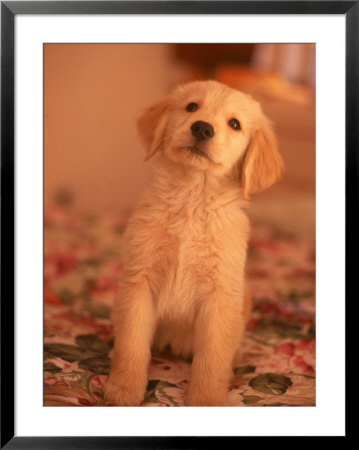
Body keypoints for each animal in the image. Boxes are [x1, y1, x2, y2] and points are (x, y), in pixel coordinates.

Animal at [104, 79, 284, 406]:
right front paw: (123, 389)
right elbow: (132, 343)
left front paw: (207, 400)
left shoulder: (220, 296)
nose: (202, 128)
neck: (192, 197)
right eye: (191, 107)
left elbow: (211, 359)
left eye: (235, 124)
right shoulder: (139, 281)